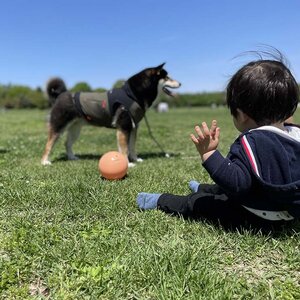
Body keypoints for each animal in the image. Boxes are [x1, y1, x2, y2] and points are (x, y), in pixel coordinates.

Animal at [40, 63, 180, 166]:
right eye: (167, 77)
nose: (180, 83)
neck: (132, 94)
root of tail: (61, 94)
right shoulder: (124, 127)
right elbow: (124, 149)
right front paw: (128, 164)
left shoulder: (133, 127)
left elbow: (132, 146)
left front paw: (135, 159)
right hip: (59, 126)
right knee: (48, 144)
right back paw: (45, 161)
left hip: (75, 129)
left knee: (67, 143)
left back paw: (72, 157)